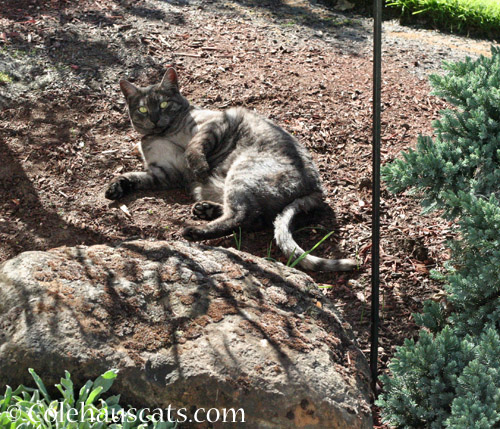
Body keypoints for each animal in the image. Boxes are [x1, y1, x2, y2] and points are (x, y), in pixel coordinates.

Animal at [104, 67, 356, 270]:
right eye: (143, 110)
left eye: (164, 104)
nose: (155, 119)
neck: (163, 134)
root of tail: (316, 187)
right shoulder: (166, 172)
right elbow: (134, 176)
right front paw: (115, 187)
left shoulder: (214, 123)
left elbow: (194, 147)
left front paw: (199, 166)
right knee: (254, 218)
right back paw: (205, 210)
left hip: (243, 171)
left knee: (242, 216)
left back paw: (194, 230)